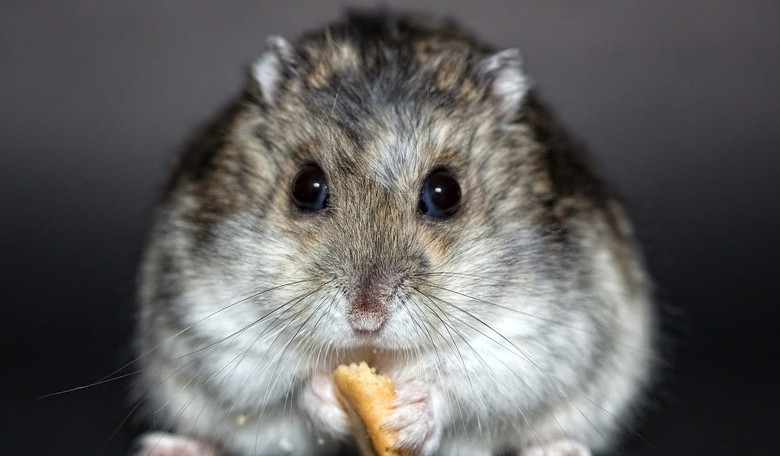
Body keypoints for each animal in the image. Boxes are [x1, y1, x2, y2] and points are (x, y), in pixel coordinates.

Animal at [133, 11, 655, 456]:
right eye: (306, 187)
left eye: (445, 192)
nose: (366, 318)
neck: (374, 353)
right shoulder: (217, 325)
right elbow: (285, 384)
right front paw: (327, 396)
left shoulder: (536, 336)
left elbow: (464, 386)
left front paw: (408, 416)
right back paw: (170, 447)